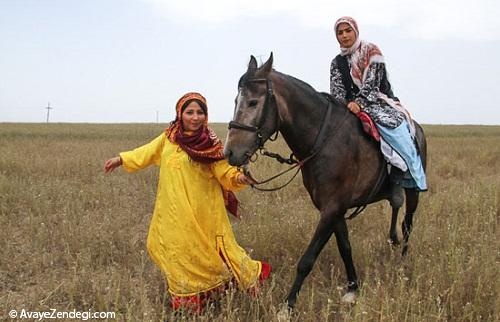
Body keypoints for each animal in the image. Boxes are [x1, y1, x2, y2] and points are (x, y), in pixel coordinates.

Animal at [225, 54, 428, 306]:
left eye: (253, 102)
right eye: (237, 100)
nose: (230, 152)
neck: (323, 140)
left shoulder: (332, 208)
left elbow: (307, 260)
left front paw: (288, 305)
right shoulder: (335, 208)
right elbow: (345, 247)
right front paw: (352, 288)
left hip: (414, 191)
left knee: (407, 224)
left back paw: (402, 263)